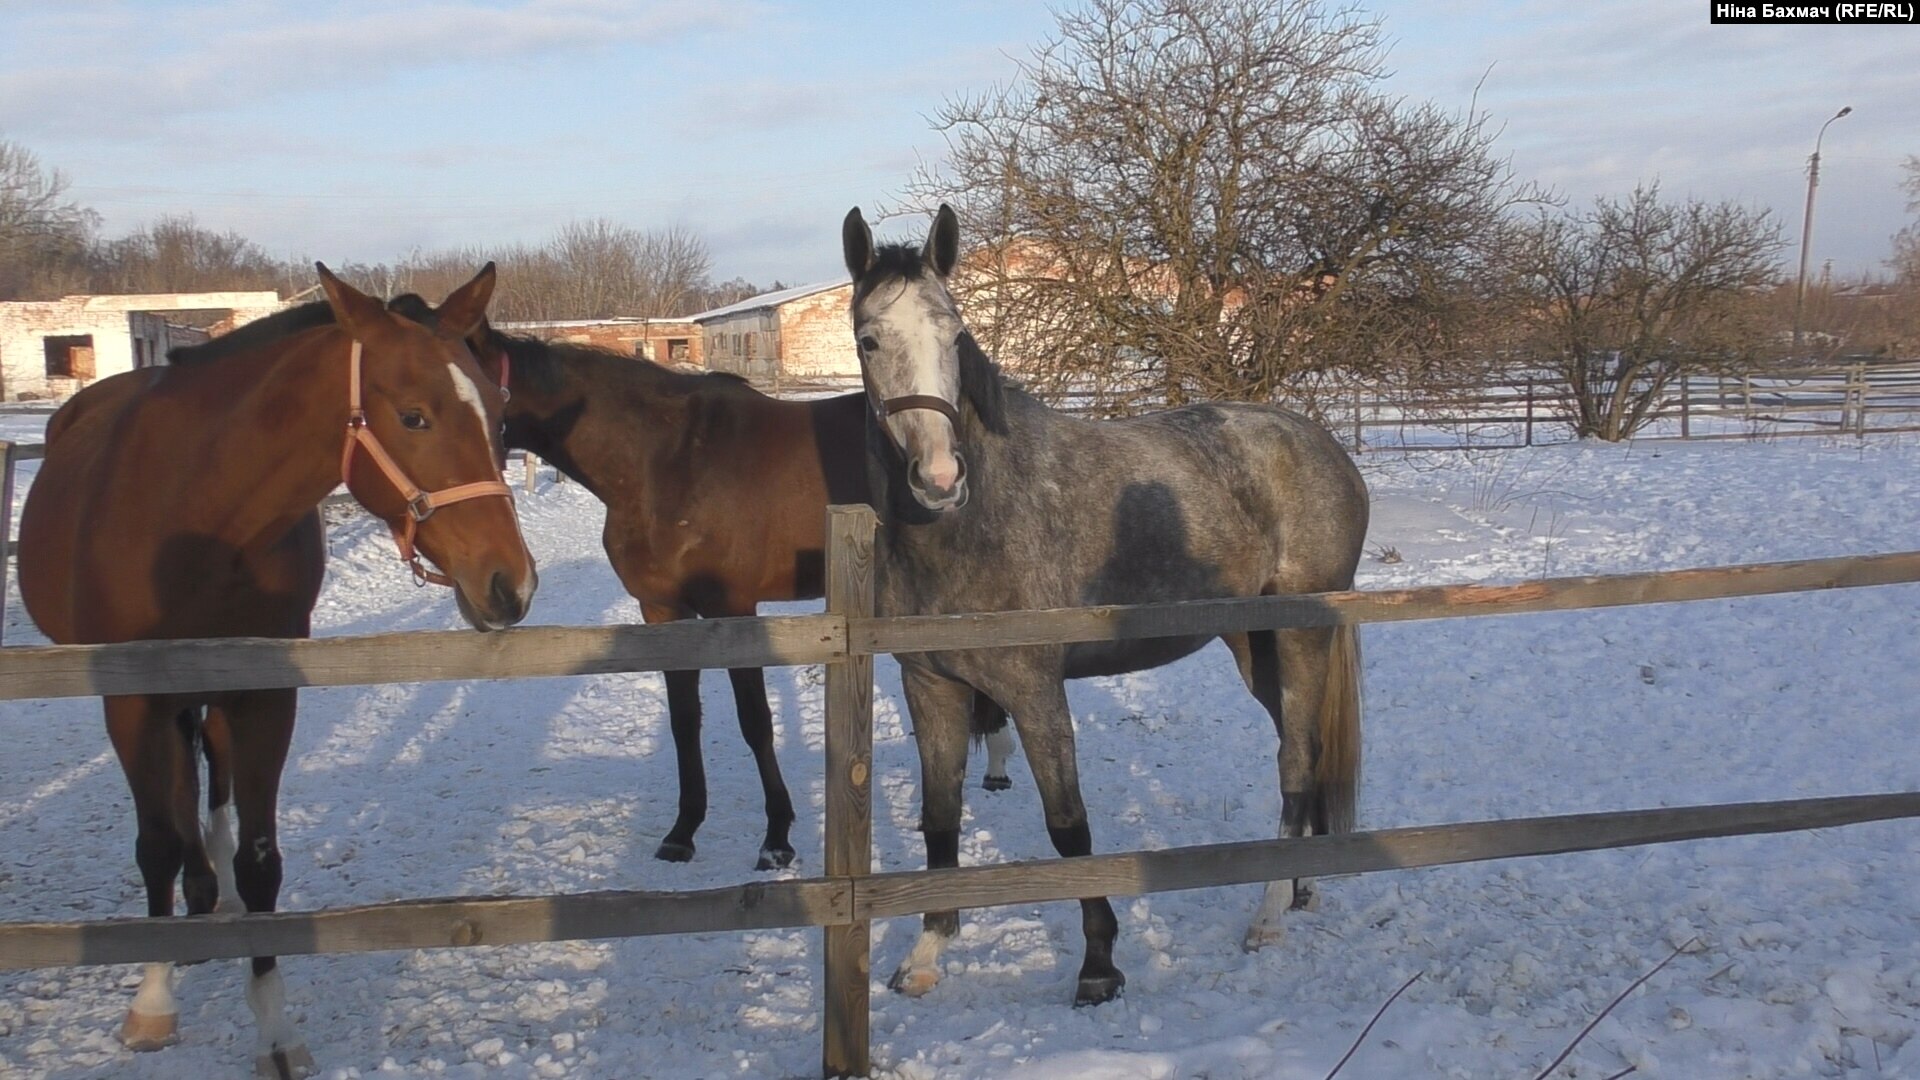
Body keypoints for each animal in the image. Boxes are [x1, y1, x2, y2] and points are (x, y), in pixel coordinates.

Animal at [18, 263, 537, 1076]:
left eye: (498, 411)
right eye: (414, 416)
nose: (509, 583)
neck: (199, 510)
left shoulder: (265, 693)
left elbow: (261, 860)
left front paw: (273, 1030)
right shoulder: (130, 696)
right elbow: (154, 844)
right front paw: (152, 1003)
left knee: (209, 774)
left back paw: (215, 895)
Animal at [840, 203, 1367, 999]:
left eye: (955, 335)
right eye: (869, 340)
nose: (939, 478)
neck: (974, 523)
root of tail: (1325, 447)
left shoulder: (1033, 688)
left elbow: (1068, 825)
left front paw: (1098, 965)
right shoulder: (930, 684)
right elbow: (940, 816)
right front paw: (928, 951)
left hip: (1300, 637)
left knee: (1298, 760)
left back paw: (1269, 914)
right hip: (1255, 647)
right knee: (1298, 754)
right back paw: (1300, 887)